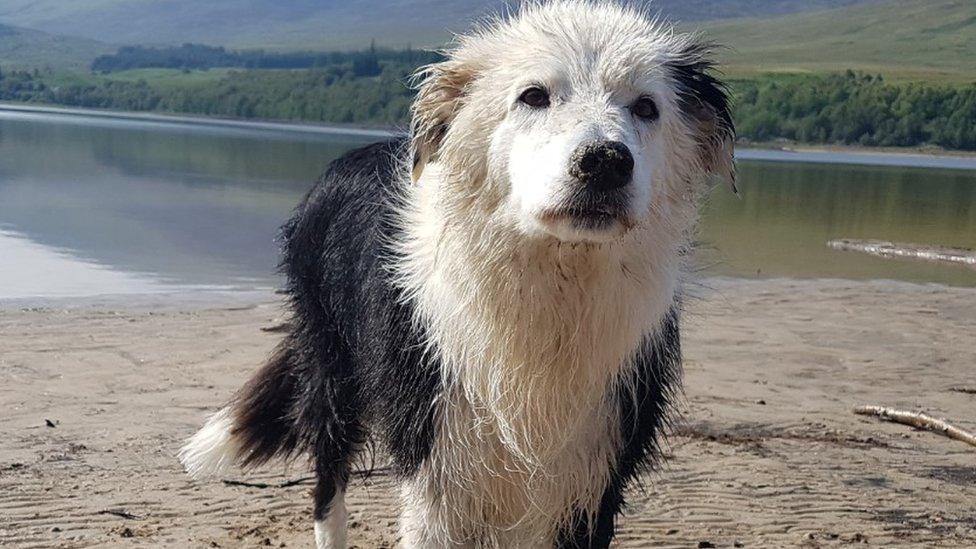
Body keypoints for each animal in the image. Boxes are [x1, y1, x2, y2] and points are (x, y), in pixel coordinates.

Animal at [179, 2, 736, 544]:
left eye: (646, 106)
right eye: (533, 96)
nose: (604, 161)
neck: (553, 281)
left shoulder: (594, 467)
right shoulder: (437, 457)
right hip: (332, 369)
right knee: (327, 487)